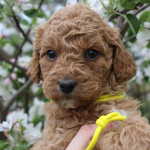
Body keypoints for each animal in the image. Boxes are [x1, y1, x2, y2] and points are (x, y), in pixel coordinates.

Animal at [26, 2, 150, 150]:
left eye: (92, 53)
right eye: (51, 54)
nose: (66, 85)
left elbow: (130, 119)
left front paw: (140, 134)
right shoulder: (60, 139)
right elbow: (104, 135)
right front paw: (139, 140)